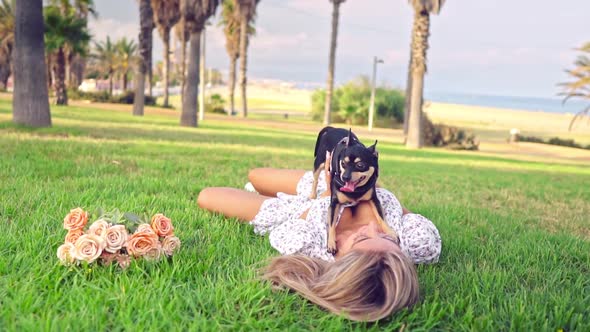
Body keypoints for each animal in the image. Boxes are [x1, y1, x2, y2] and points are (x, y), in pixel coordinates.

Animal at [312, 125, 400, 254]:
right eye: (343, 163)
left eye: (360, 165)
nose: (345, 177)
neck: (355, 191)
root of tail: (333, 128)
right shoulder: (334, 204)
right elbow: (332, 224)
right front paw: (331, 243)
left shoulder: (374, 200)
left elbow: (381, 217)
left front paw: (390, 232)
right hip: (319, 163)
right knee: (315, 179)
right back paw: (312, 195)